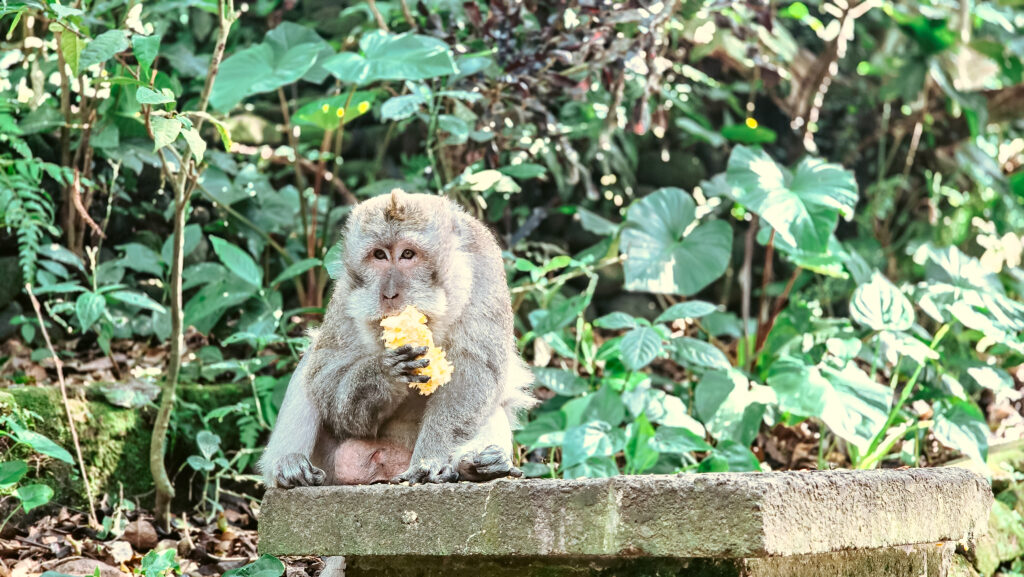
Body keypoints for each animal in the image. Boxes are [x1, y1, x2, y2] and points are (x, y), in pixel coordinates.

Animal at [258, 190, 536, 487]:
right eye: (379, 255)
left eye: (407, 254)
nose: (390, 294)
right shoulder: (347, 289)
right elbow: (326, 374)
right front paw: (385, 374)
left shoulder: (484, 268)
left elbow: (474, 370)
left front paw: (430, 459)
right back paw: (289, 466)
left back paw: (479, 465)